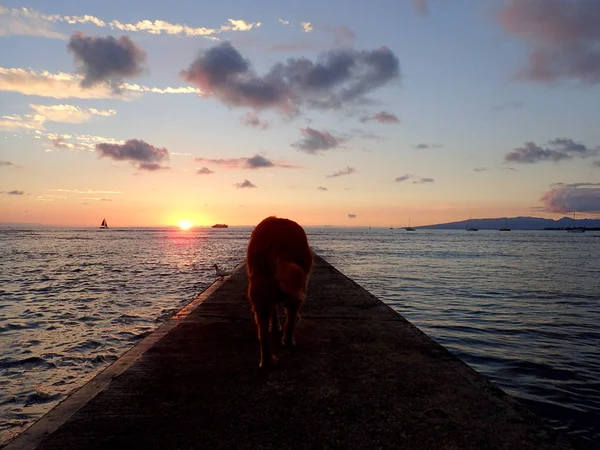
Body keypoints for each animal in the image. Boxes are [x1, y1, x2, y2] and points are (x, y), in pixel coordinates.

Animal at [248, 216, 314, 368]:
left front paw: (275, 326)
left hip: (259, 295)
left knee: (263, 336)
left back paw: (267, 362)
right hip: (298, 292)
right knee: (290, 321)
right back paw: (289, 342)